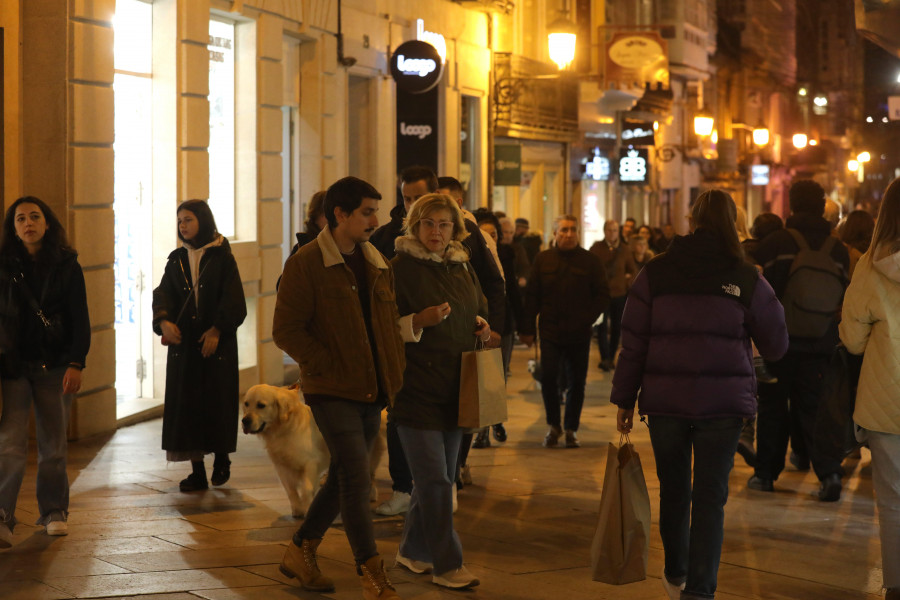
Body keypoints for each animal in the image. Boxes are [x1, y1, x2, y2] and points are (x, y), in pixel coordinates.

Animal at [243, 386, 386, 516]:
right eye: (246, 404)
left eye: (261, 405)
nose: (244, 421)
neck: (284, 429)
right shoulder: (281, 466)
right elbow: (290, 490)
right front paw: (297, 509)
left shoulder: (310, 462)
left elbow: (306, 488)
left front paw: (307, 508)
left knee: (370, 474)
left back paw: (371, 494)